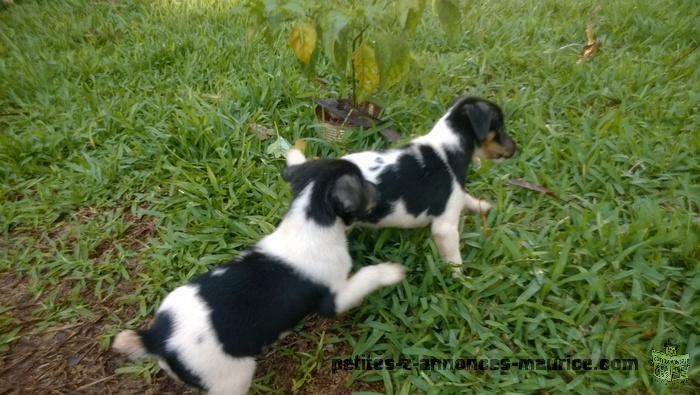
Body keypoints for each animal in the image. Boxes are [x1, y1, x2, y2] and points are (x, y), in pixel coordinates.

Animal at [109, 159, 404, 394]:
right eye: (365, 184)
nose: (381, 190)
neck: (309, 221)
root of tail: (157, 339)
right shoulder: (334, 298)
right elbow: (367, 276)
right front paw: (391, 271)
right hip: (232, 379)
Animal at [288, 96, 516, 270]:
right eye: (500, 127)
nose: (516, 148)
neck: (450, 145)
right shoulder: (446, 226)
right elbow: (454, 259)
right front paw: (460, 282)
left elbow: (466, 197)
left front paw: (481, 205)